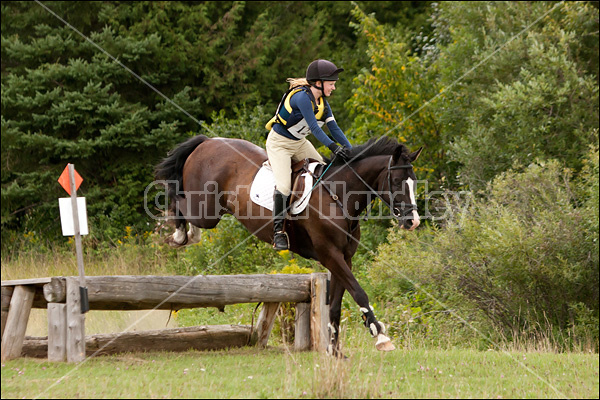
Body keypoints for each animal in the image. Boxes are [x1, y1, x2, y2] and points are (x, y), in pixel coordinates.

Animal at [155, 135, 422, 356]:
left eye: (414, 182)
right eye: (396, 181)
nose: (413, 221)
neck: (338, 196)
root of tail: (208, 141)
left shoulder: (343, 257)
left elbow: (336, 305)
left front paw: (334, 350)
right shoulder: (330, 255)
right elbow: (359, 292)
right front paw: (380, 334)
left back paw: (186, 235)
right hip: (206, 211)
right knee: (177, 199)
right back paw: (175, 234)